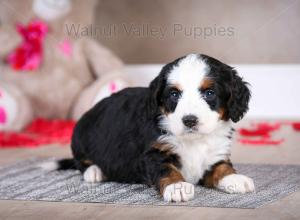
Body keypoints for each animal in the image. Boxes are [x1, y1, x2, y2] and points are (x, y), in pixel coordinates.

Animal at [44, 53, 253, 203]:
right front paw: (177, 187)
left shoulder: (215, 152)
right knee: (81, 161)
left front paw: (235, 179)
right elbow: (165, 169)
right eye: (174, 94)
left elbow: (222, 166)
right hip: (80, 135)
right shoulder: (152, 153)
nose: (189, 120)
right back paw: (94, 171)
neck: (194, 140)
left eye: (209, 93)